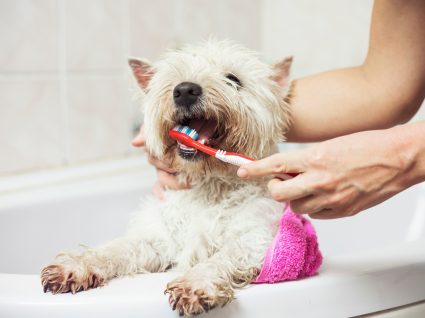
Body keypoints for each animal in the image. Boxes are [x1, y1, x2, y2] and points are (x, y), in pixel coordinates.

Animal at [40, 39, 292, 316]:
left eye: (233, 79)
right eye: (174, 77)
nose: (185, 90)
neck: (209, 184)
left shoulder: (253, 239)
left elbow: (221, 258)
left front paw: (195, 284)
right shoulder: (158, 239)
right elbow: (117, 248)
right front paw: (75, 265)